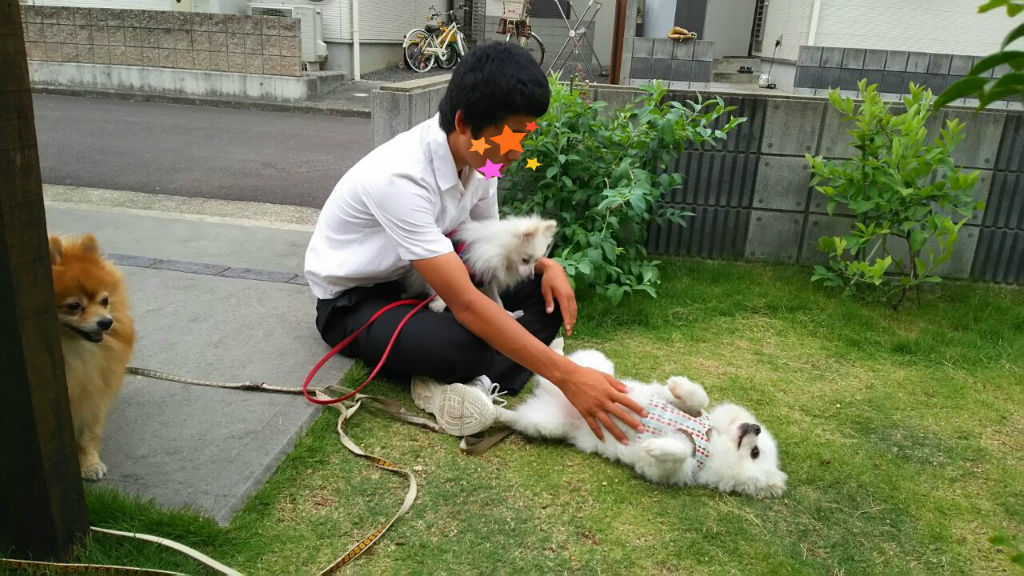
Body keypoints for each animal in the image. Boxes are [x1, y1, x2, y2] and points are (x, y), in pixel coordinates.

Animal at [49, 234, 135, 481]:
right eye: (74, 306)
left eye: (104, 301)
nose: (106, 322)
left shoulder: (93, 393)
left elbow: (88, 433)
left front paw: (89, 463)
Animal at [403, 214, 558, 314]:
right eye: (525, 260)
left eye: (536, 261)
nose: (531, 277)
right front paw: (439, 305)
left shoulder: (486, 279)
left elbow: (497, 300)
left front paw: (506, 313)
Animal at [496, 346, 787, 498]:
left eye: (755, 452)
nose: (755, 427)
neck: (710, 440)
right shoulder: (685, 408)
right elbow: (697, 398)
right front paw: (680, 385)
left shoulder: (665, 470)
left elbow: (678, 453)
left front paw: (655, 446)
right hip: (597, 366)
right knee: (561, 363)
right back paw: (556, 345)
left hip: (545, 421)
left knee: (528, 403)